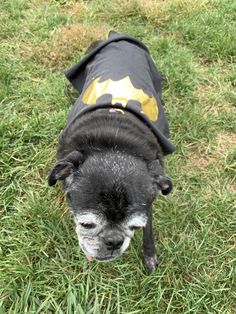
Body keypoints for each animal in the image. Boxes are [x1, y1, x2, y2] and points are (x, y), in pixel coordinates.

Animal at [48, 31, 175, 272]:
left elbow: (150, 230)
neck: (114, 142)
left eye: (135, 227)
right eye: (86, 224)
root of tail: (118, 36)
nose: (114, 241)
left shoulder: (148, 205)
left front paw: (149, 255)